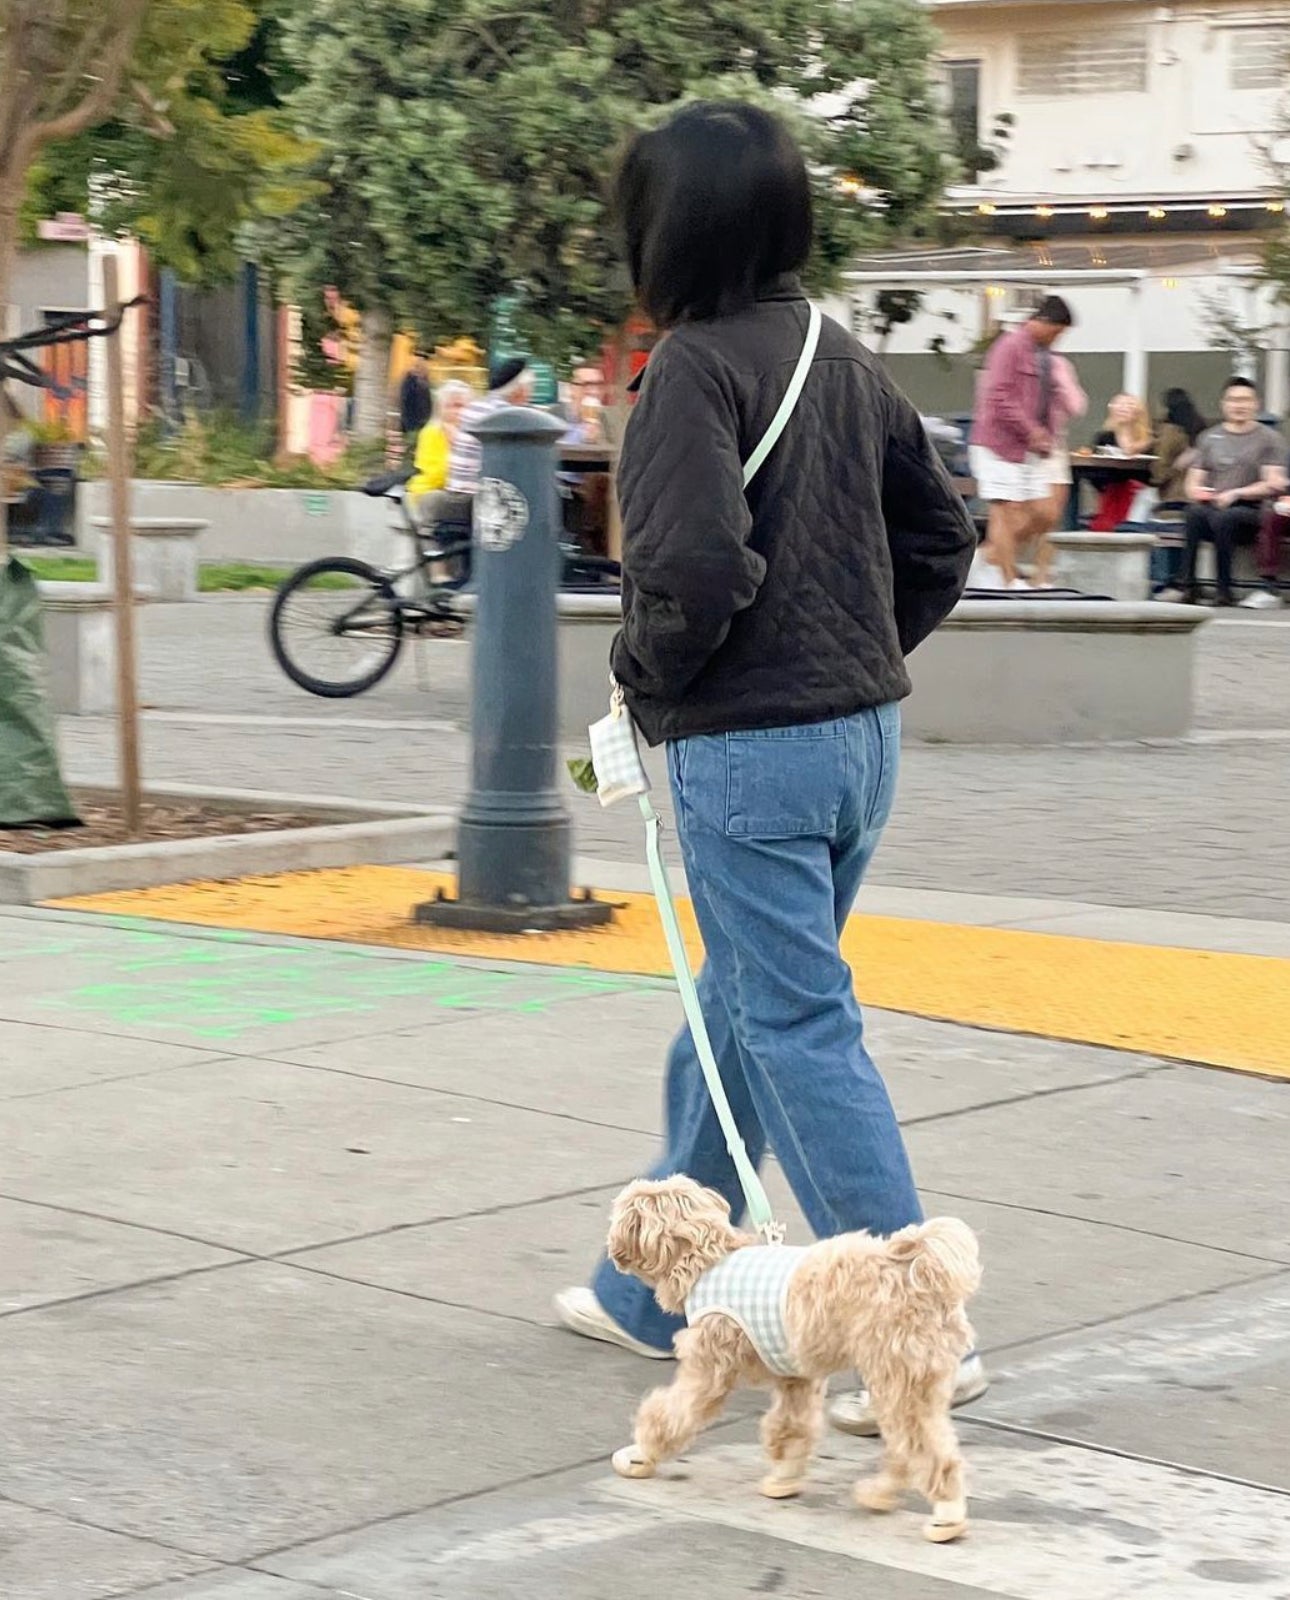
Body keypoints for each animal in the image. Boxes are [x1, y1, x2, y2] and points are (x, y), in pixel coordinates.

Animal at [604, 1177, 979, 1536]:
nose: (612, 1246)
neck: (707, 1262)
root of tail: (920, 1271)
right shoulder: (796, 1377)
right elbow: (791, 1426)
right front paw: (784, 1477)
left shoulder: (708, 1371)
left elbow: (671, 1415)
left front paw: (641, 1454)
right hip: (917, 1383)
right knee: (906, 1448)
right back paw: (879, 1493)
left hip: (897, 1379)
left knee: (926, 1451)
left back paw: (946, 1517)